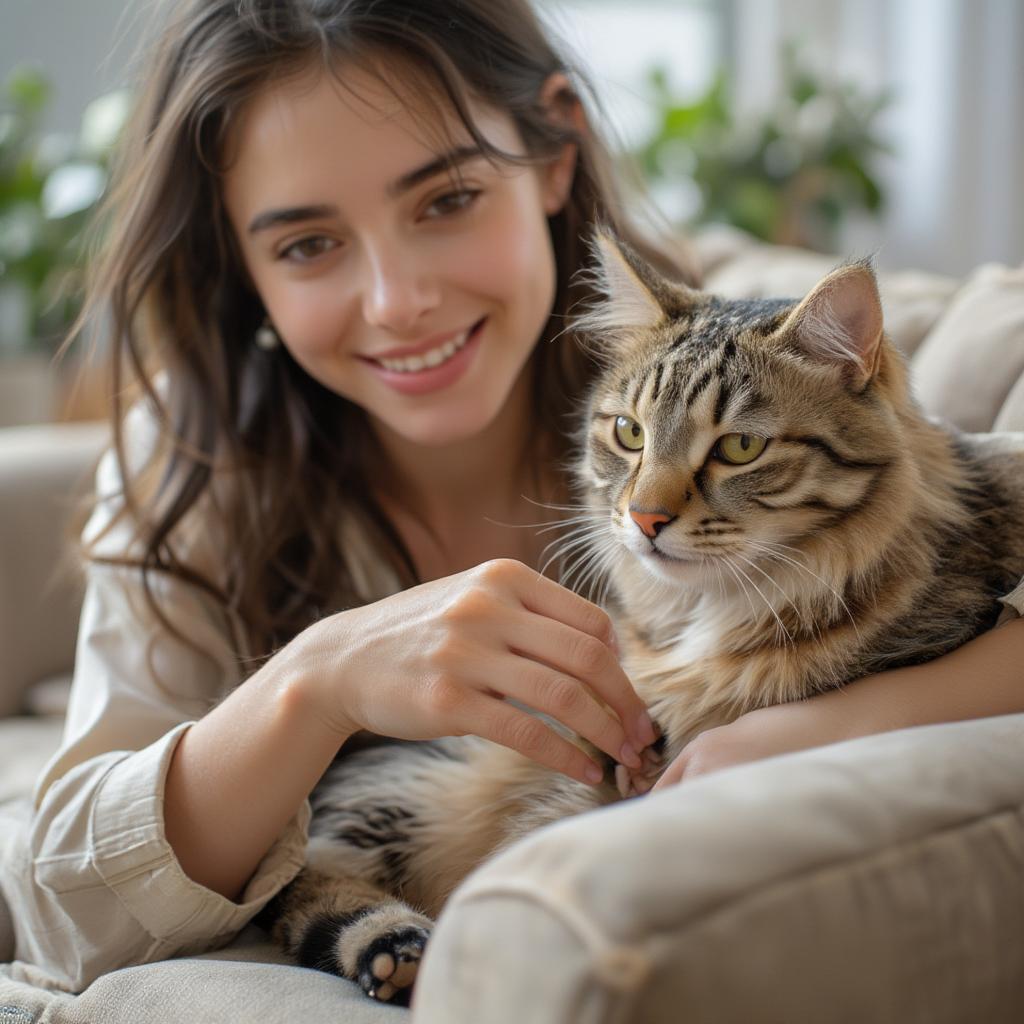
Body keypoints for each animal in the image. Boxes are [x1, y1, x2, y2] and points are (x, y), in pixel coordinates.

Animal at [262, 230, 1024, 999]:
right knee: (307, 877)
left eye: (740, 447)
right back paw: (395, 950)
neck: (707, 613)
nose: (645, 517)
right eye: (629, 433)